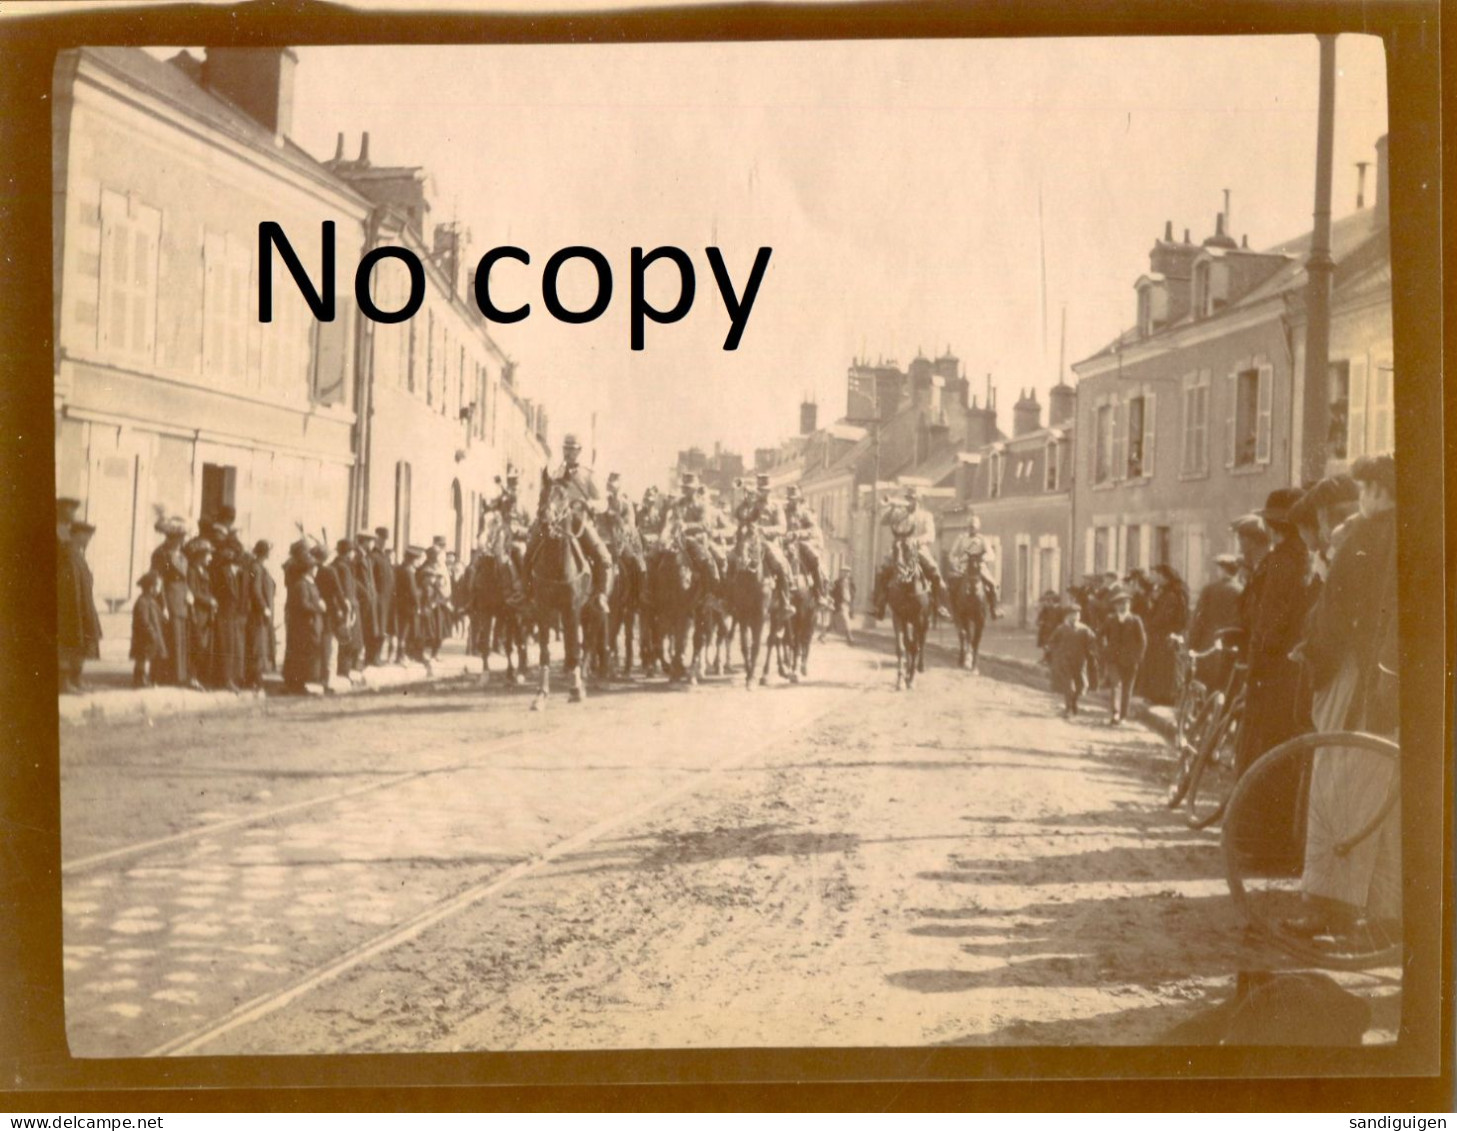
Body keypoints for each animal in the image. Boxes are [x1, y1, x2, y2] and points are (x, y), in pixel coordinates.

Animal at [527, 469, 594, 705]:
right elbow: (544, 650)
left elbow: (575, 645)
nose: (546, 524)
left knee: (583, 643)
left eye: (563, 496)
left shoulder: (572, 608)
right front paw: (540, 694)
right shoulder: (543, 608)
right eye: (542, 494)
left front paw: (576, 689)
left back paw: (581, 680)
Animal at [874, 536, 932, 687]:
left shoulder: (919, 619)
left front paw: (911, 679)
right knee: (908, 642)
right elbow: (901, 647)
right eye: (894, 549)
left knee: (921, 641)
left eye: (909, 549)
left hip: (926, 621)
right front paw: (901, 680)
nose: (901, 575)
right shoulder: (898, 616)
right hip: (907, 621)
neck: (908, 588)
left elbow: (915, 647)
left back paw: (920, 667)